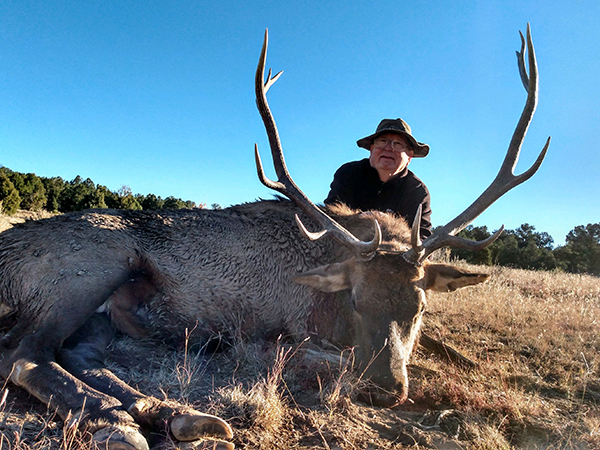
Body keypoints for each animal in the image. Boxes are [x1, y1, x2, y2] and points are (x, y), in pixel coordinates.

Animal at [0, 25, 548, 450]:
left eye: (420, 307)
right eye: (355, 300)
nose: (383, 389)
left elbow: (451, 350)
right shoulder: (291, 328)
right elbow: (326, 356)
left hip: (102, 312)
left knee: (76, 353)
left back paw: (173, 416)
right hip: (85, 269)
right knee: (24, 353)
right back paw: (117, 423)